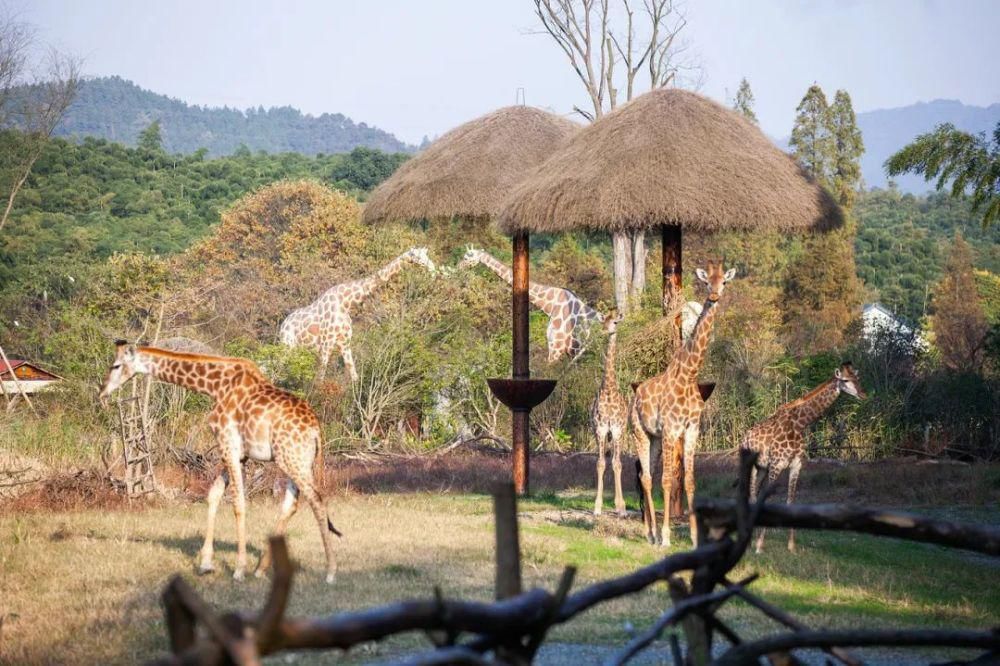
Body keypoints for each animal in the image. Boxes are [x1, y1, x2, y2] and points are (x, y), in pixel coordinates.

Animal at [98, 342, 340, 580]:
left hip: (292, 459)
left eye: (116, 365)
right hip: (292, 460)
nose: (102, 391)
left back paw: (330, 571)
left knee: (317, 501)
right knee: (291, 503)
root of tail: (316, 430)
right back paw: (261, 569)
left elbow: (238, 503)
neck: (215, 386)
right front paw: (206, 563)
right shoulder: (238, 453)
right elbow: (213, 494)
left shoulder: (228, 444)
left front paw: (238, 569)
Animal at [282, 245, 438, 382]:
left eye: (427, 255)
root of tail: (282, 325)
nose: (432, 269)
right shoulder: (327, 343)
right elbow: (320, 377)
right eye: (416, 256)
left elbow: (354, 374)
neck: (346, 303)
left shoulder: (345, 343)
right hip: (288, 345)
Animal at [744, 360, 868, 552]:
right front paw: (759, 546)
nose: (863, 394)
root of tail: (745, 435)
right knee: (750, 495)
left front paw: (791, 546)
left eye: (857, 378)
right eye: (845, 380)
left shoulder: (796, 466)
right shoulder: (776, 465)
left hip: (762, 468)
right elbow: (768, 500)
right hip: (752, 466)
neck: (800, 424)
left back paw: (750, 540)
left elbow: (790, 502)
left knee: (753, 496)